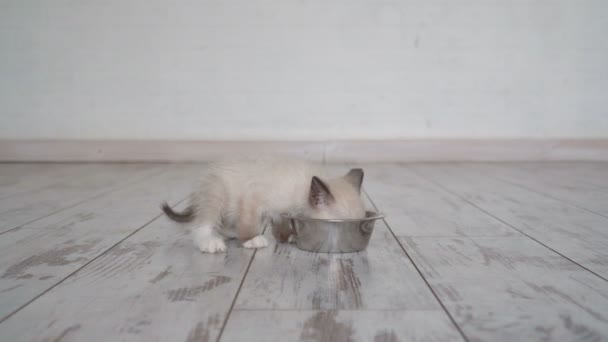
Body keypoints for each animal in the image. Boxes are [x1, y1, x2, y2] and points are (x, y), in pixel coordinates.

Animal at [159, 159, 366, 252]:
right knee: (202, 224)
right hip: (218, 194)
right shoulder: (253, 198)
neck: (303, 186)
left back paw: (229, 234)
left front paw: (287, 237)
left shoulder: (283, 212)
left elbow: (281, 225)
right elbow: (249, 224)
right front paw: (251, 240)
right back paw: (211, 242)